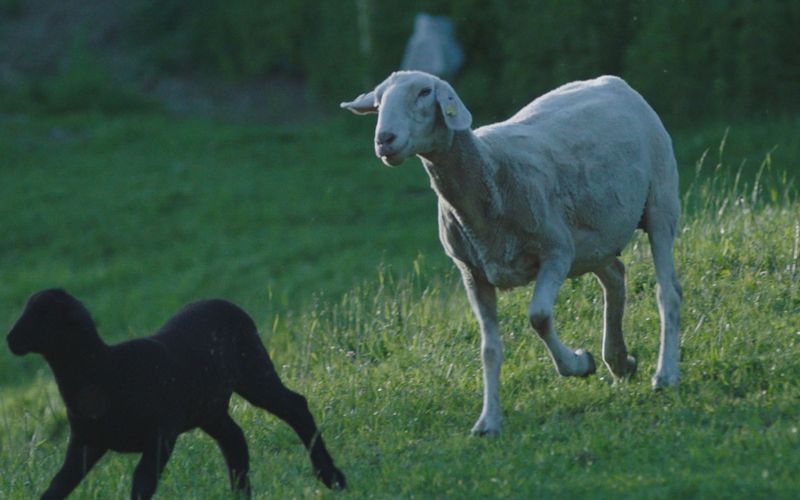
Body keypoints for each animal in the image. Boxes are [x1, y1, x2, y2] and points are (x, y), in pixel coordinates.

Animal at [5, 290, 344, 500]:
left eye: (43, 314)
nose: (10, 339)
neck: (104, 370)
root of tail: (225, 303)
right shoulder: (85, 443)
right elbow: (57, 486)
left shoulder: (161, 433)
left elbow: (141, 483)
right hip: (209, 407)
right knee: (235, 438)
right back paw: (242, 492)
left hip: (254, 371)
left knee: (295, 407)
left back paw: (332, 477)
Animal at [340, 72, 684, 436]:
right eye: (378, 102)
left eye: (423, 92)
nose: (384, 139)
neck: (489, 168)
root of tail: (613, 82)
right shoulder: (472, 273)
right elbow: (489, 349)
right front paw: (489, 420)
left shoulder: (556, 250)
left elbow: (539, 317)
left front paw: (577, 363)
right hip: (593, 240)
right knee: (616, 276)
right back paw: (619, 361)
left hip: (659, 201)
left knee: (668, 291)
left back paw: (665, 374)